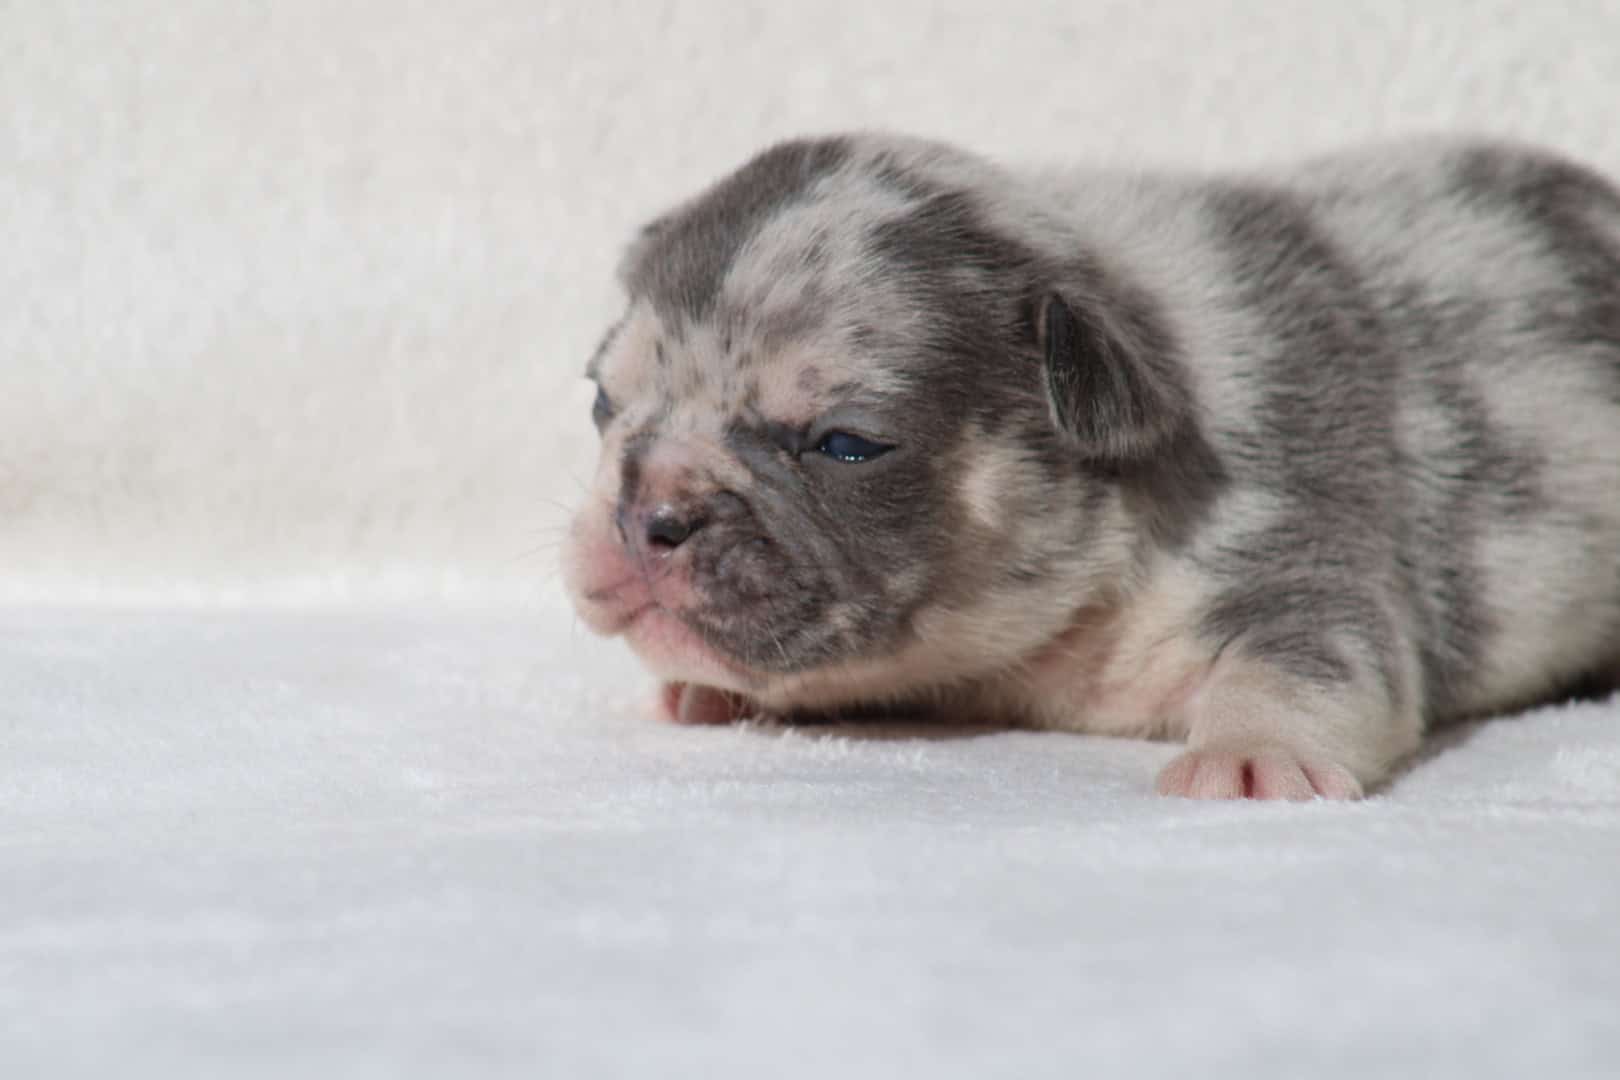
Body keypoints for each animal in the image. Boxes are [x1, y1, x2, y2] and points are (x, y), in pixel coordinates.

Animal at [560, 135, 1620, 799]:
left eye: (846, 444)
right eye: (604, 402)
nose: (647, 514)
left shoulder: (1294, 538)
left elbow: (1305, 658)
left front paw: (1250, 754)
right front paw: (713, 692)